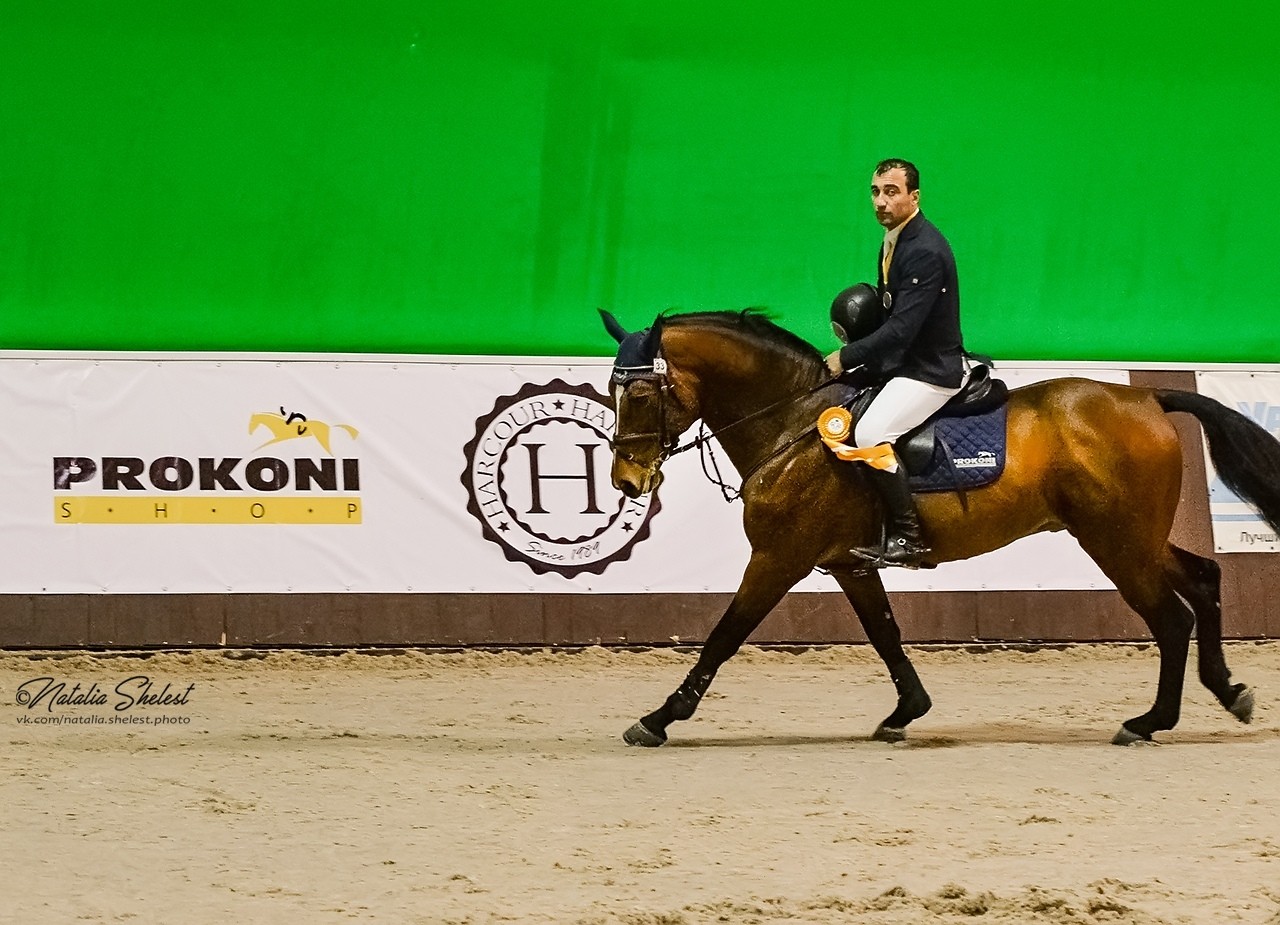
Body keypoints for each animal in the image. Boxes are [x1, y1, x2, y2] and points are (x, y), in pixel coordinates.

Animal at [599, 309, 1280, 747]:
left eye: (639, 395)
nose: (626, 482)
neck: (793, 424)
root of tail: (1145, 398)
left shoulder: (777, 557)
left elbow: (723, 635)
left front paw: (659, 718)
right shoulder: (848, 563)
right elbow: (884, 633)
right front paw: (907, 712)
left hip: (1116, 543)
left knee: (1170, 618)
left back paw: (1148, 723)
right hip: (1134, 538)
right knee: (1203, 578)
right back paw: (1228, 691)